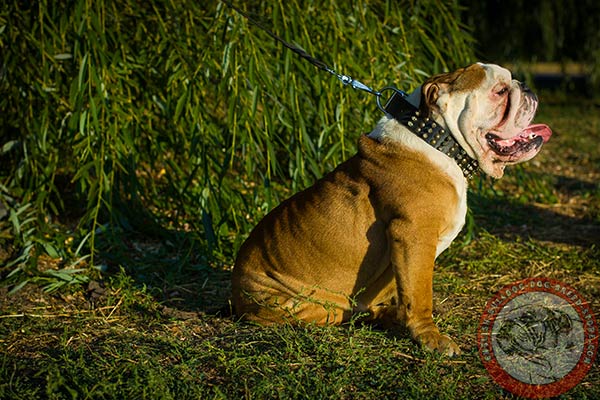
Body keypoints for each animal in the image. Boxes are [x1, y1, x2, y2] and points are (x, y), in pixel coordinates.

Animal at [231, 63, 552, 356]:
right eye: (500, 91)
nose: (526, 87)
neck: (437, 139)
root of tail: (235, 292)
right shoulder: (413, 236)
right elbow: (420, 294)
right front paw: (430, 337)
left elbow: (407, 290)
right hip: (290, 302)